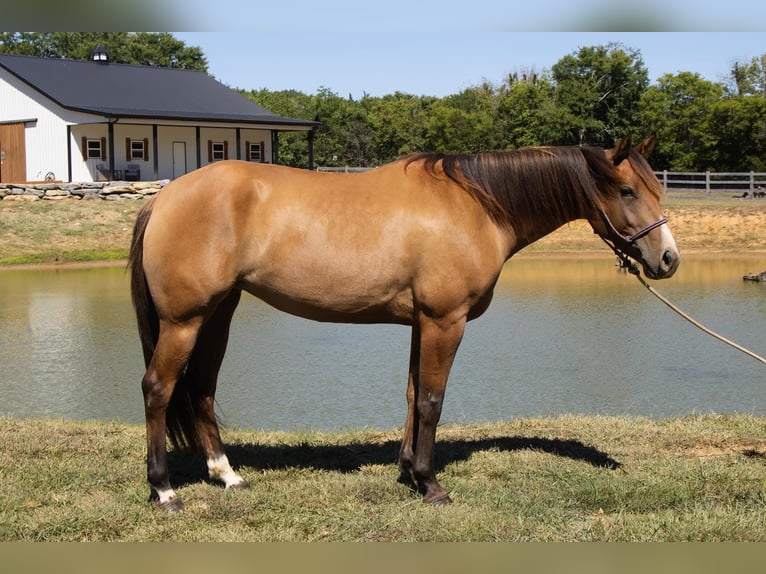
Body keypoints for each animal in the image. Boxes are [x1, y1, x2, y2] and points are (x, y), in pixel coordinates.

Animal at [128, 133, 680, 511]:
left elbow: (414, 395)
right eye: (627, 191)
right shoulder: (444, 320)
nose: (668, 259)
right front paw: (431, 484)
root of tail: (163, 197)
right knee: (158, 389)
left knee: (201, 389)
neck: (476, 205)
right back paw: (165, 490)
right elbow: (433, 400)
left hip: (217, 314)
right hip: (184, 320)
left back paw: (227, 475)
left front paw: (408, 471)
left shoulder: (420, 323)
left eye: (656, 187)